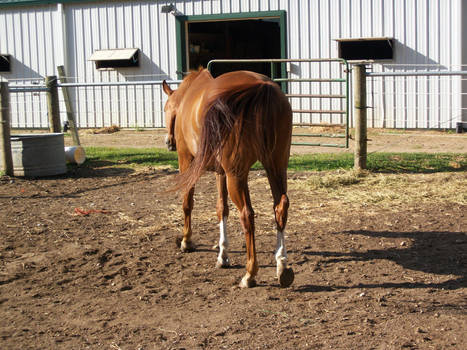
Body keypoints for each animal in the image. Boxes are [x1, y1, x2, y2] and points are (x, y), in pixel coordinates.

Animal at [161, 68, 292, 288]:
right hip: (276, 167)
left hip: (236, 176)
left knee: (247, 215)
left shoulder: (187, 161)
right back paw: (282, 266)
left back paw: (250, 274)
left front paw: (186, 241)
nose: (169, 142)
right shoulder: (220, 172)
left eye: (166, 109)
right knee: (280, 206)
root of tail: (262, 88)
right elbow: (221, 208)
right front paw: (223, 255)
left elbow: (187, 202)